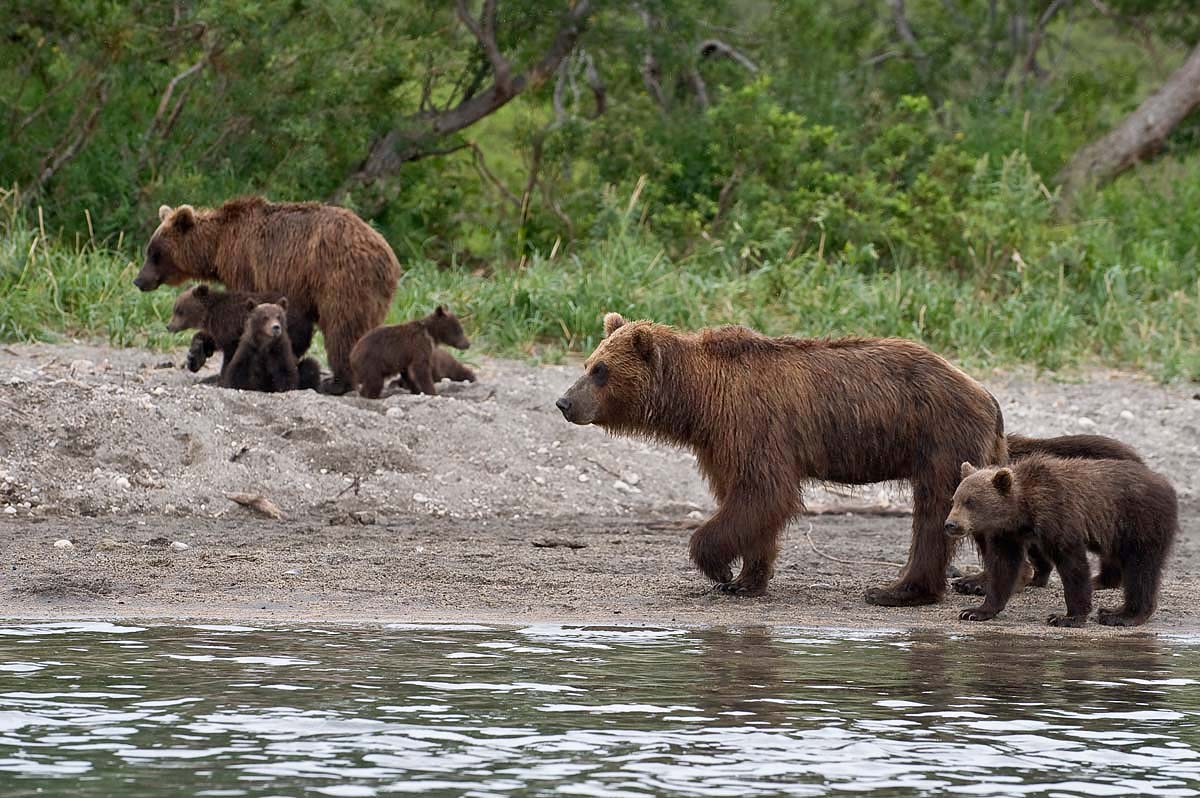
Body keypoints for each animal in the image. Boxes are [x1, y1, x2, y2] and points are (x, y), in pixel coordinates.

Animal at [134, 198, 400, 393]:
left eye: (155, 253)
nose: (138, 280)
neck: (217, 247)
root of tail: (388, 255)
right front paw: (196, 354)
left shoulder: (247, 267)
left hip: (341, 279)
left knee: (342, 329)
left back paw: (335, 383)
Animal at [556, 312, 1008, 604]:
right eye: (588, 363)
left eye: (601, 370)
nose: (564, 402)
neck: (701, 400)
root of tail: (985, 393)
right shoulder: (722, 442)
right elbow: (749, 503)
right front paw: (745, 579)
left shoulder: (756, 425)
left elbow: (763, 493)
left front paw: (718, 568)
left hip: (939, 437)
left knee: (933, 512)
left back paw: (898, 590)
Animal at [940, 453, 1176, 628]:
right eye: (955, 499)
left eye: (971, 502)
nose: (950, 524)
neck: (1023, 511)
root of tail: (1166, 484)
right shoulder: (1007, 534)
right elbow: (1003, 567)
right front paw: (975, 611)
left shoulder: (1060, 518)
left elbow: (1072, 566)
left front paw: (1067, 616)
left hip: (1138, 521)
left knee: (1141, 569)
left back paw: (1122, 615)